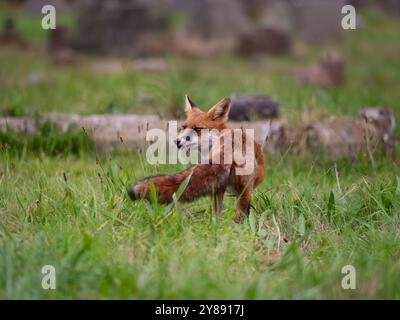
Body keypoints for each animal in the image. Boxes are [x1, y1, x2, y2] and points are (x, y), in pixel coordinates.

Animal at [129, 95, 266, 222]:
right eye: (183, 127)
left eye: (198, 129)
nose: (177, 141)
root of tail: (231, 144)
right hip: (242, 189)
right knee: (239, 213)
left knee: (219, 214)